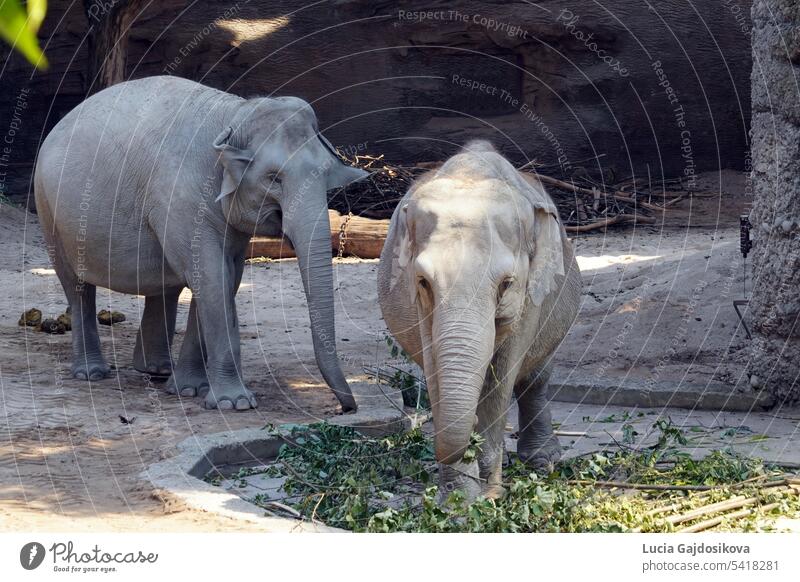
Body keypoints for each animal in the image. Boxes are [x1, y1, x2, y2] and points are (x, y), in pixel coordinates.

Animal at [33, 77, 366, 412]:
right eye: (274, 179)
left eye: (326, 175)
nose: (347, 408)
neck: (234, 115)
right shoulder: (179, 200)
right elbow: (210, 278)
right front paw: (234, 403)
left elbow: (226, 279)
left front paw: (191, 390)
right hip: (49, 210)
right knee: (76, 285)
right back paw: (91, 373)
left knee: (164, 282)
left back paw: (157, 371)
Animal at [378, 143, 580, 502]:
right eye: (423, 282)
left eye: (506, 283)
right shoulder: (422, 310)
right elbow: (435, 369)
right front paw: (457, 499)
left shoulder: (530, 297)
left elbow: (502, 376)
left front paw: (489, 494)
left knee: (536, 378)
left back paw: (543, 461)